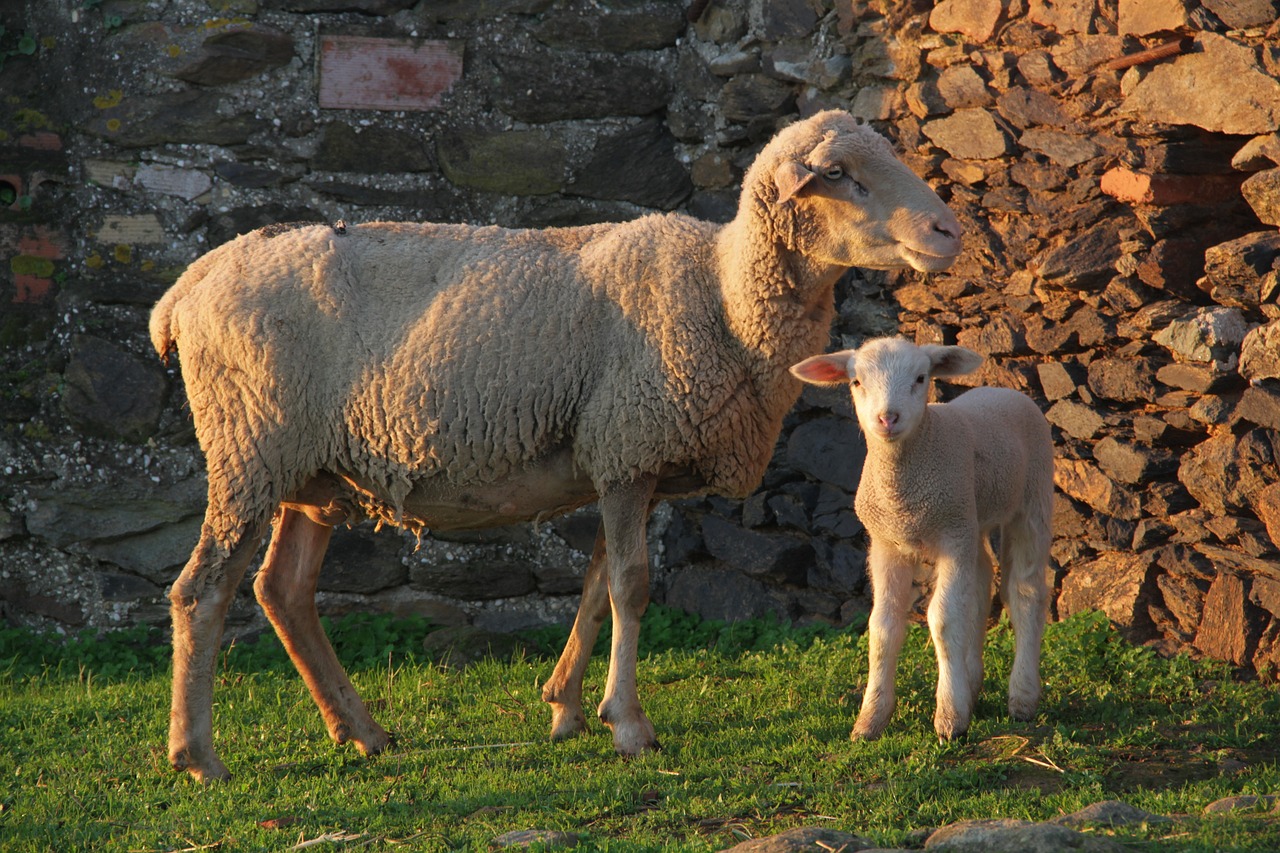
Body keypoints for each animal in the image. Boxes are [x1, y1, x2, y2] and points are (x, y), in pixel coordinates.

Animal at [147, 109, 962, 778]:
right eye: (840, 175)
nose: (949, 231)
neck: (724, 297)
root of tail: (185, 288)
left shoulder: (626, 462)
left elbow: (598, 585)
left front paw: (566, 707)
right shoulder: (629, 451)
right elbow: (632, 588)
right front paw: (629, 725)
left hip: (311, 471)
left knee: (282, 590)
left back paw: (361, 731)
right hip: (249, 449)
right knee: (202, 590)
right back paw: (198, 755)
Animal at [788, 335, 1049, 742]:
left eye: (921, 378)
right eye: (856, 382)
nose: (887, 418)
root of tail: (999, 388)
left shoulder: (951, 536)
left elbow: (943, 619)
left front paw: (950, 719)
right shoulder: (887, 545)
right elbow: (882, 626)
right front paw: (870, 720)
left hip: (1030, 497)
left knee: (1025, 592)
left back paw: (1022, 697)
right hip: (971, 519)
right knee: (980, 586)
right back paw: (970, 683)